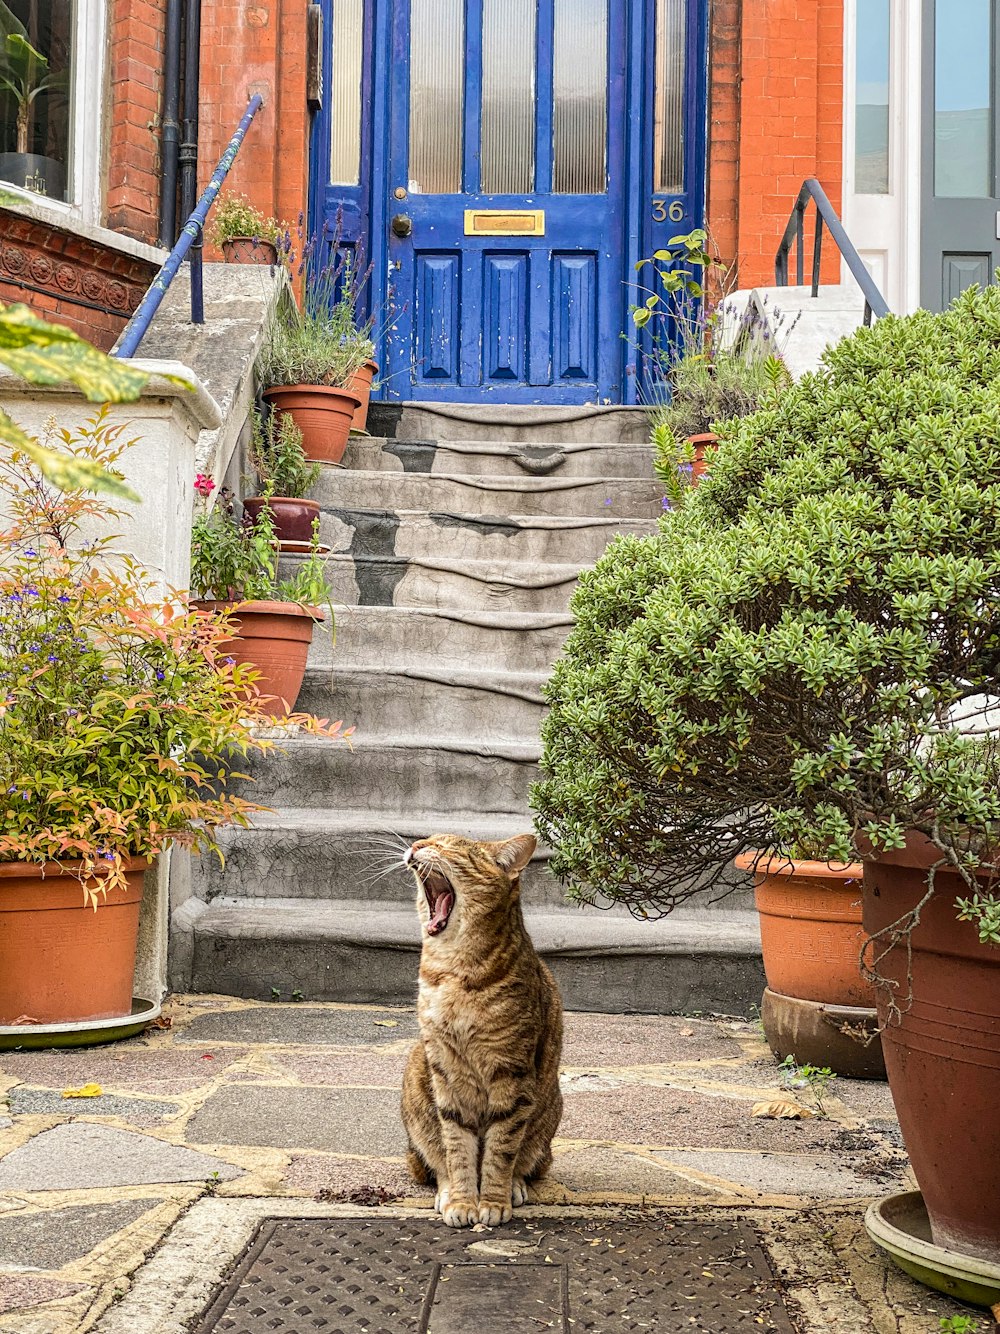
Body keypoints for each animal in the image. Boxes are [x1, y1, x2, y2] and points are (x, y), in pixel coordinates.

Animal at [402, 832, 568, 1227]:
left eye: (447, 846)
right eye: (426, 839)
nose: (416, 844)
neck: (451, 972)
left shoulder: (512, 1073)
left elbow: (501, 1150)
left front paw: (492, 1200)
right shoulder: (445, 1070)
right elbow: (457, 1149)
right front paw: (463, 1201)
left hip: (549, 1108)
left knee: (526, 1159)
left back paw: (515, 1186)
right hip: (416, 1075)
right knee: (436, 1159)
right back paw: (446, 1191)